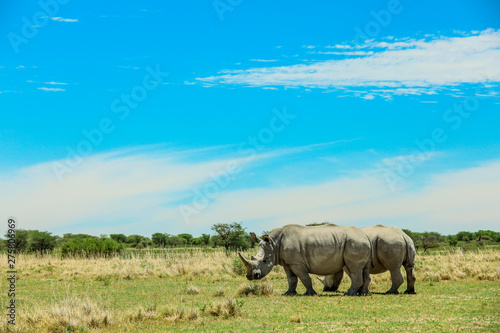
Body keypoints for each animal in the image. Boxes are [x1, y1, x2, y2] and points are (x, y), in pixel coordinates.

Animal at [240, 223, 374, 296]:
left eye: (265, 260)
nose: (250, 276)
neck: (274, 244)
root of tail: (366, 236)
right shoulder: (288, 262)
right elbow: (291, 279)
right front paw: (289, 293)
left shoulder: (296, 262)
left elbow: (304, 278)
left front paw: (310, 293)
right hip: (358, 242)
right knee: (360, 268)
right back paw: (363, 293)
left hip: (355, 242)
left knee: (354, 268)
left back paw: (349, 293)